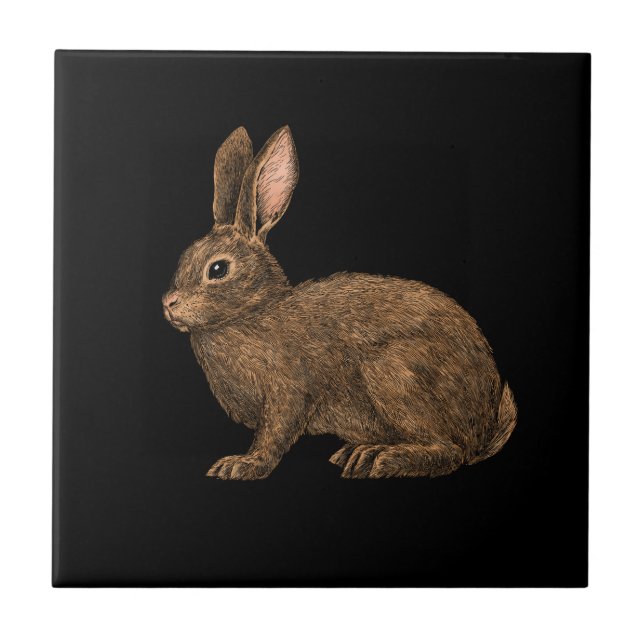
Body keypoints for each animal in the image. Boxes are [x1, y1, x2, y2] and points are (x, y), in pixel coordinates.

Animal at [162, 125, 517, 480]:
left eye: (217, 269)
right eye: (183, 257)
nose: (168, 303)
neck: (251, 311)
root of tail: (484, 427)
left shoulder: (288, 390)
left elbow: (275, 433)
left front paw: (243, 465)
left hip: (393, 372)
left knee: (450, 451)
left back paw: (380, 459)